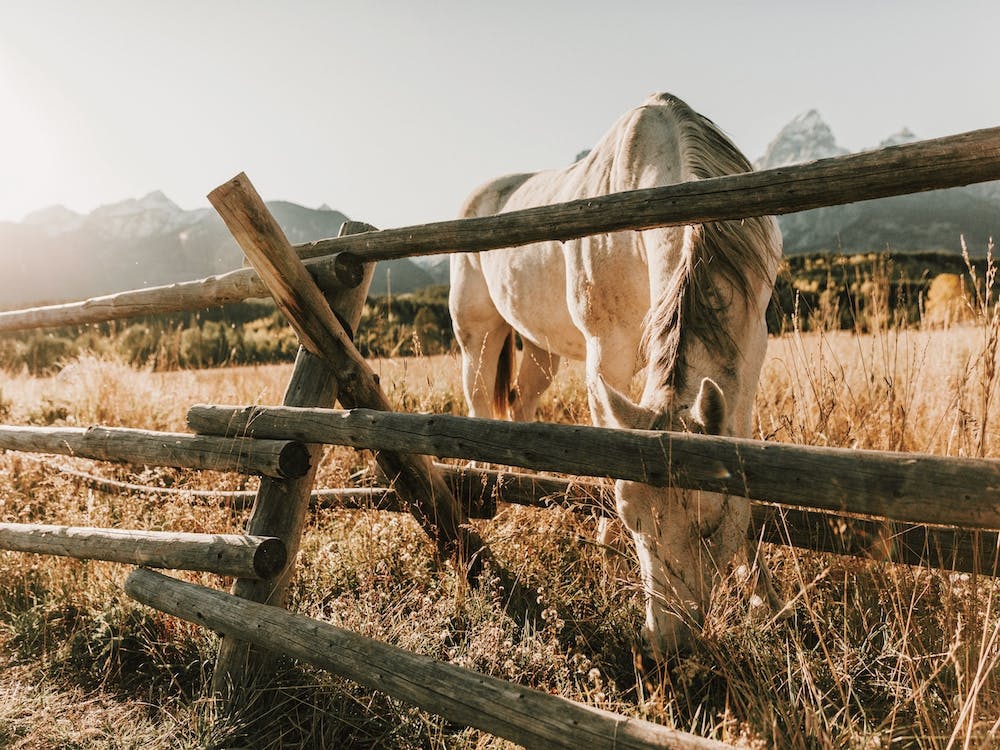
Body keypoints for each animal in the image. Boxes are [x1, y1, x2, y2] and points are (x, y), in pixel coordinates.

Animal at [449, 92, 782, 656]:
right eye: (631, 518)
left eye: (711, 523)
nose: (668, 642)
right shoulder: (607, 353)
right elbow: (608, 444)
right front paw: (606, 552)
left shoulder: (750, 351)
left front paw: (763, 593)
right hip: (479, 334)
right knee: (477, 404)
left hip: (540, 349)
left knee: (522, 403)